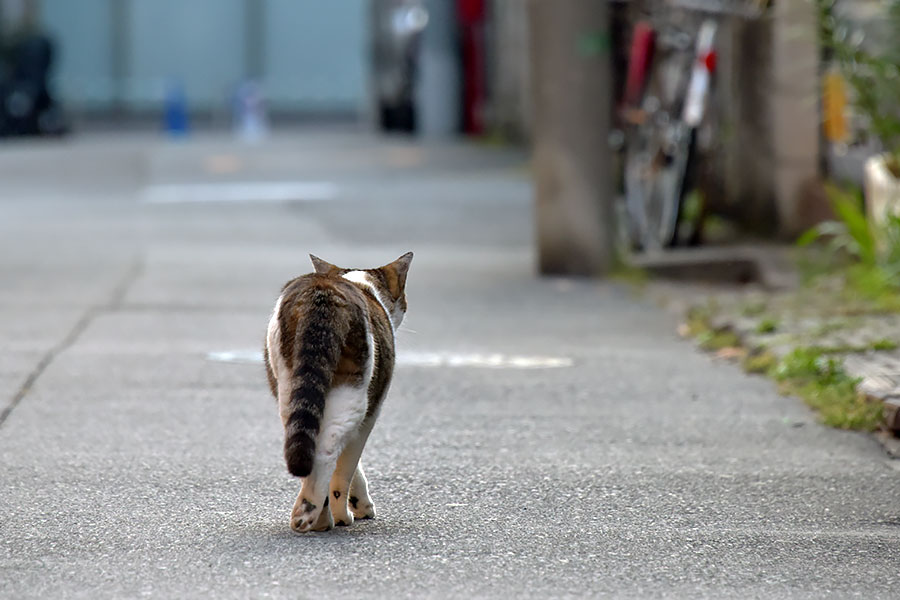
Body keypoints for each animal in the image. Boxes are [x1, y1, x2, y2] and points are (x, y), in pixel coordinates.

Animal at [262, 251, 414, 532]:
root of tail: (323, 291)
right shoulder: (371, 412)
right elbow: (347, 467)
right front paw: (352, 509)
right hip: (353, 392)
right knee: (326, 451)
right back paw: (316, 515)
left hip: (289, 384)